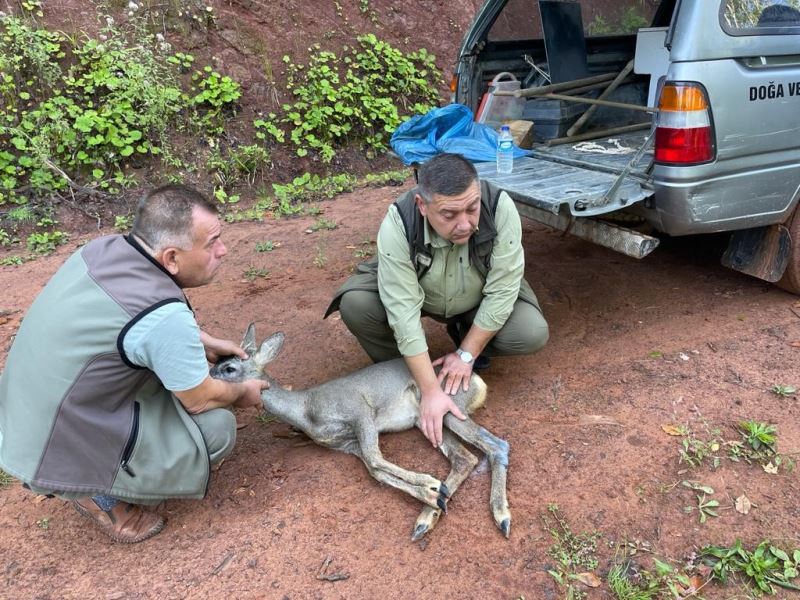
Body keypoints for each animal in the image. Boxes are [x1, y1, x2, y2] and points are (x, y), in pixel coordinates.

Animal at [211, 326, 512, 540]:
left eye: (229, 367)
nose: (208, 376)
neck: (306, 410)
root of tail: (477, 381)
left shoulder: (359, 410)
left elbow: (376, 459)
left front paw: (430, 485)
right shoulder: (346, 444)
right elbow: (374, 468)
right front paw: (432, 492)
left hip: (449, 408)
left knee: (496, 445)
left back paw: (501, 516)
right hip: (427, 420)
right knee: (465, 458)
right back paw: (428, 516)